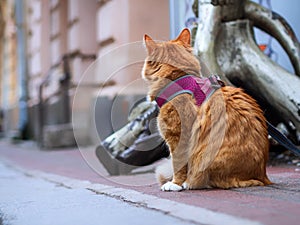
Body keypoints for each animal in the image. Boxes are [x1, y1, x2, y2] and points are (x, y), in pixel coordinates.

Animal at [142, 27, 270, 191]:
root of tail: (262, 175)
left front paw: (175, 184)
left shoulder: (178, 137)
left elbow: (178, 165)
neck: (179, 80)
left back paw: (189, 182)